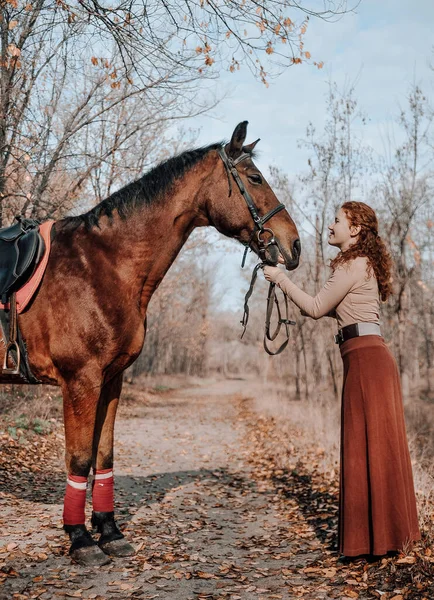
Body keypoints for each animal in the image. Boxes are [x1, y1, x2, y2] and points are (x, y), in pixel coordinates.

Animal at [0, 120, 300, 564]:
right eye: (254, 178)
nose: (293, 245)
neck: (105, 265)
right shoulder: (80, 382)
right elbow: (79, 459)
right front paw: (80, 539)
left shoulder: (111, 380)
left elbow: (104, 455)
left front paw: (109, 532)